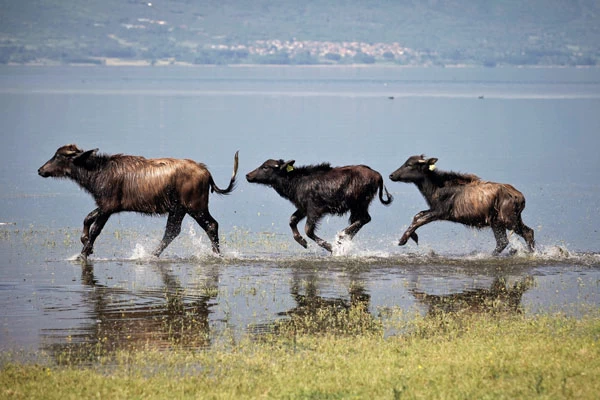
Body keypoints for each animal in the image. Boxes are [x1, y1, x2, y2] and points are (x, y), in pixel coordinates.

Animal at [36, 144, 239, 260]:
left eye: (59, 156)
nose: (40, 170)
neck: (96, 173)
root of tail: (207, 173)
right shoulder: (106, 206)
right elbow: (87, 218)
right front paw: (85, 243)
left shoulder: (108, 207)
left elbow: (95, 229)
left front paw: (84, 253)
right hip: (178, 209)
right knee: (172, 231)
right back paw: (151, 255)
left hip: (195, 207)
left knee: (211, 225)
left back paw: (217, 254)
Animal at [390, 155, 536, 255]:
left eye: (409, 164)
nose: (391, 175)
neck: (434, 188)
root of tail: (520, 198)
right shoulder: (434, 209)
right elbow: (417, 215)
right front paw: (413, 237)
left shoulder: (441, 212)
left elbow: (419, 220)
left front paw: (402, 240)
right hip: (500, 221)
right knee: (509, 239)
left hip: (507, 220)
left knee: (523, 234)